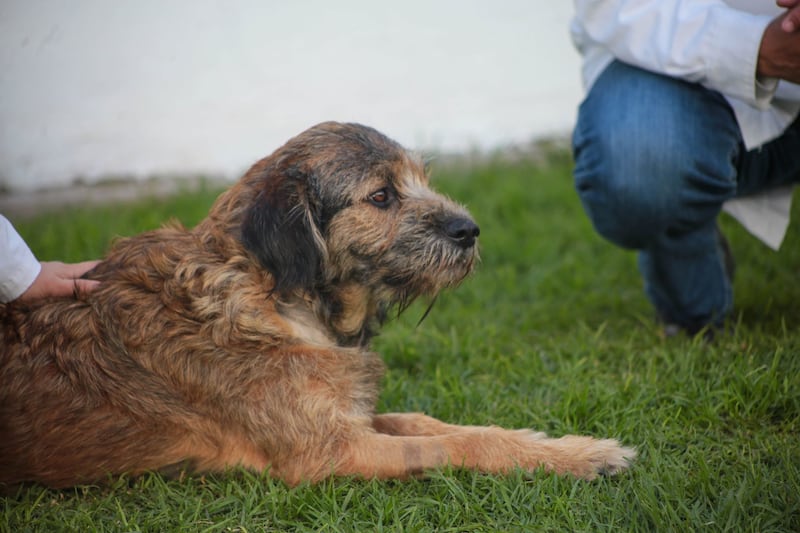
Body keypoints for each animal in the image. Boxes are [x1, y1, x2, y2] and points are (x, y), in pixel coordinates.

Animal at [1, 122, 636, 488]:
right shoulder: (329, 452)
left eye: (421, 179)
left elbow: (428, 421)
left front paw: (568, 447)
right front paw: (583, 459)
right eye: (380, 196)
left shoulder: (346, 415)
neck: (272, 299)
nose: (469, 230)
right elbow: (456, 441)